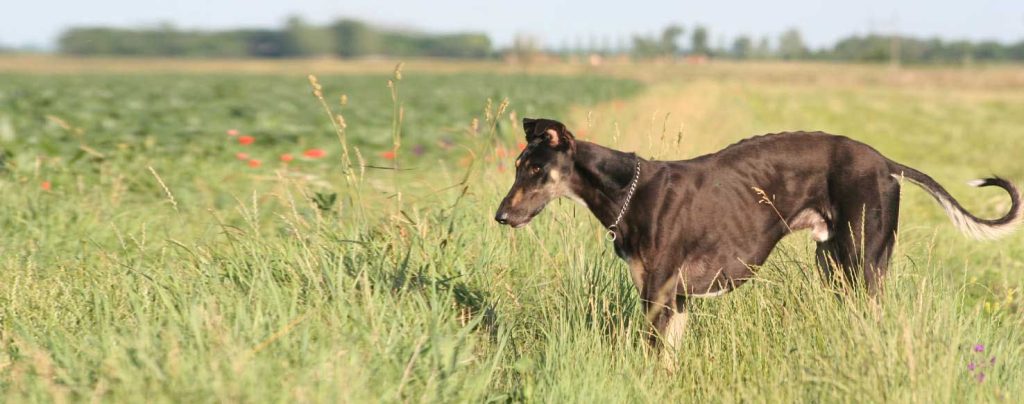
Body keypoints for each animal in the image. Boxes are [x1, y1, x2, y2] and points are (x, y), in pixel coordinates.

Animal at [491, 116, 1019, 360]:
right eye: (517, 165)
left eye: (535, 170)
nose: (500, 216)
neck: (628, 189)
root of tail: (886, 162)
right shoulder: (677, 299)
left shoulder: (657, 294)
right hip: (834, 267)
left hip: (864, 264)